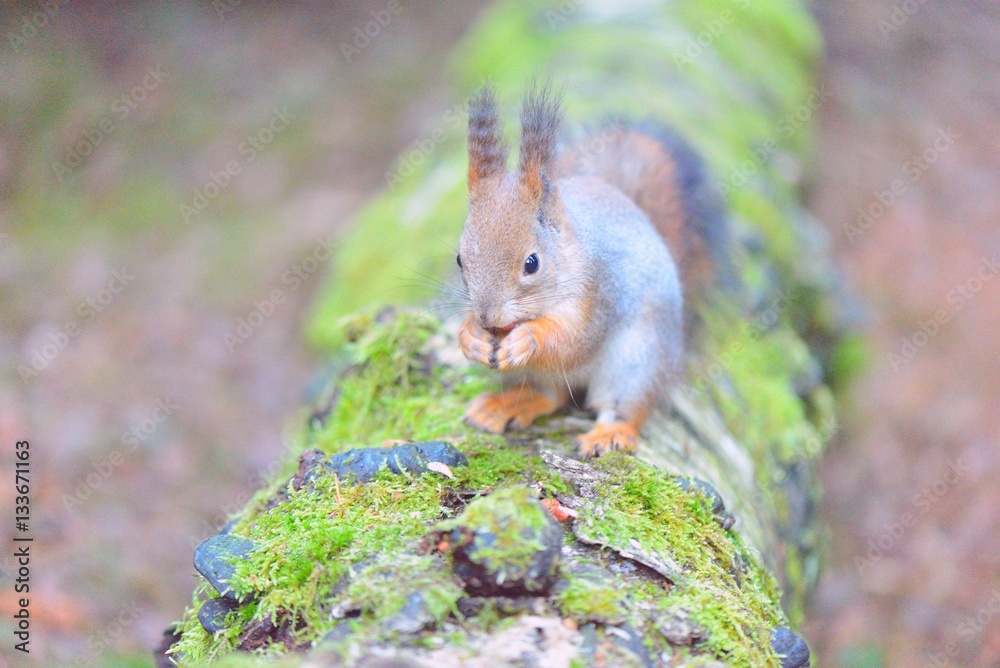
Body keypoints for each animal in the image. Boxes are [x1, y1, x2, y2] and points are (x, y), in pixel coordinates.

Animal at [455, 84, 732, 457]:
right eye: (459, 259)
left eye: (532, 263)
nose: (487, 317)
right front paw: (470, 335)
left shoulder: (599, 293)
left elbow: (574, 341)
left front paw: (528, 339)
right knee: (549, 394)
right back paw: (506, 404)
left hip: (637, 360)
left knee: (624, 406)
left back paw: (611, 433)